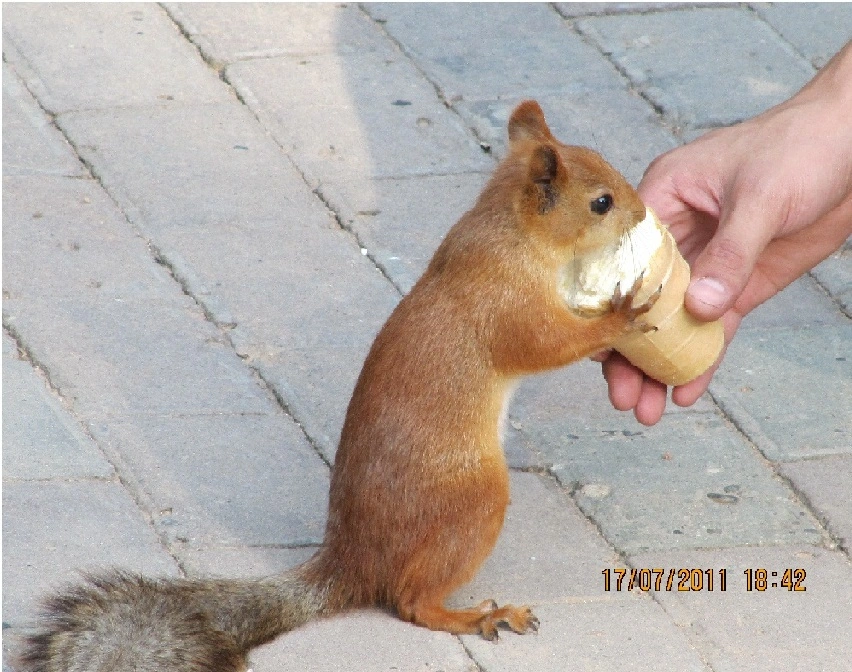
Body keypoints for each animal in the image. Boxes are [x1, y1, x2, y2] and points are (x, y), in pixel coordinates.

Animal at [18, 100, 658, 672]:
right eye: (601, 203)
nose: (641, 209)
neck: (508, 232)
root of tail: (353, 564)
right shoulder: (506, 306)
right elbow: (544, 344)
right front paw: (621, 315)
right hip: (473, 504)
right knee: (410, 602)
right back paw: (475, 615)